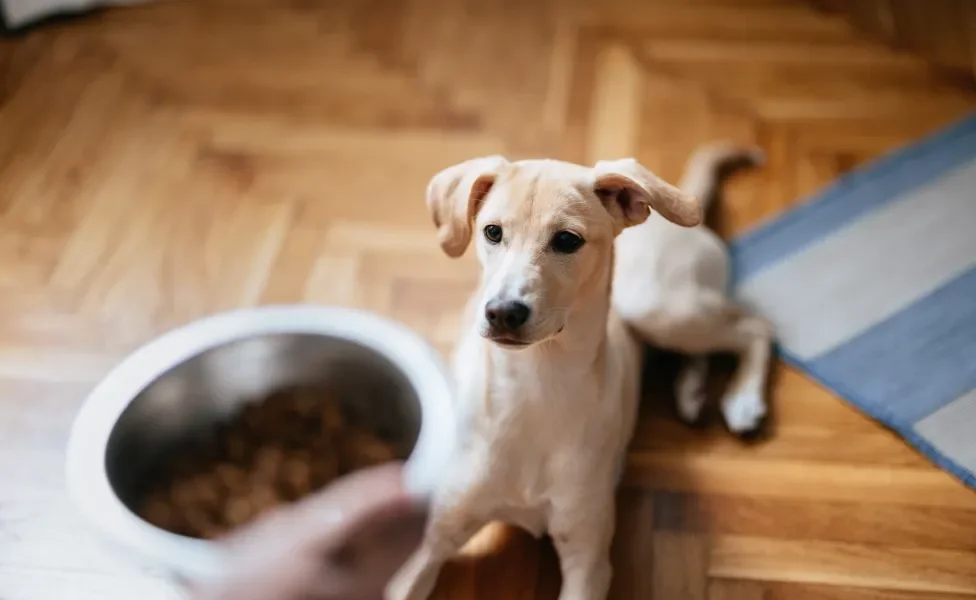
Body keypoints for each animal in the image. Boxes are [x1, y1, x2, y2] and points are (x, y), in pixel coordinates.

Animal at [388, 144, 772, 600]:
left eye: (567, 240)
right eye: (492, 232)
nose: (502, 312)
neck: (535, 388)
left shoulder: (587, 559)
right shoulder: (426, 545)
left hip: (657, 308)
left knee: (752, 327)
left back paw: (743, 400)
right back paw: (692, 393)